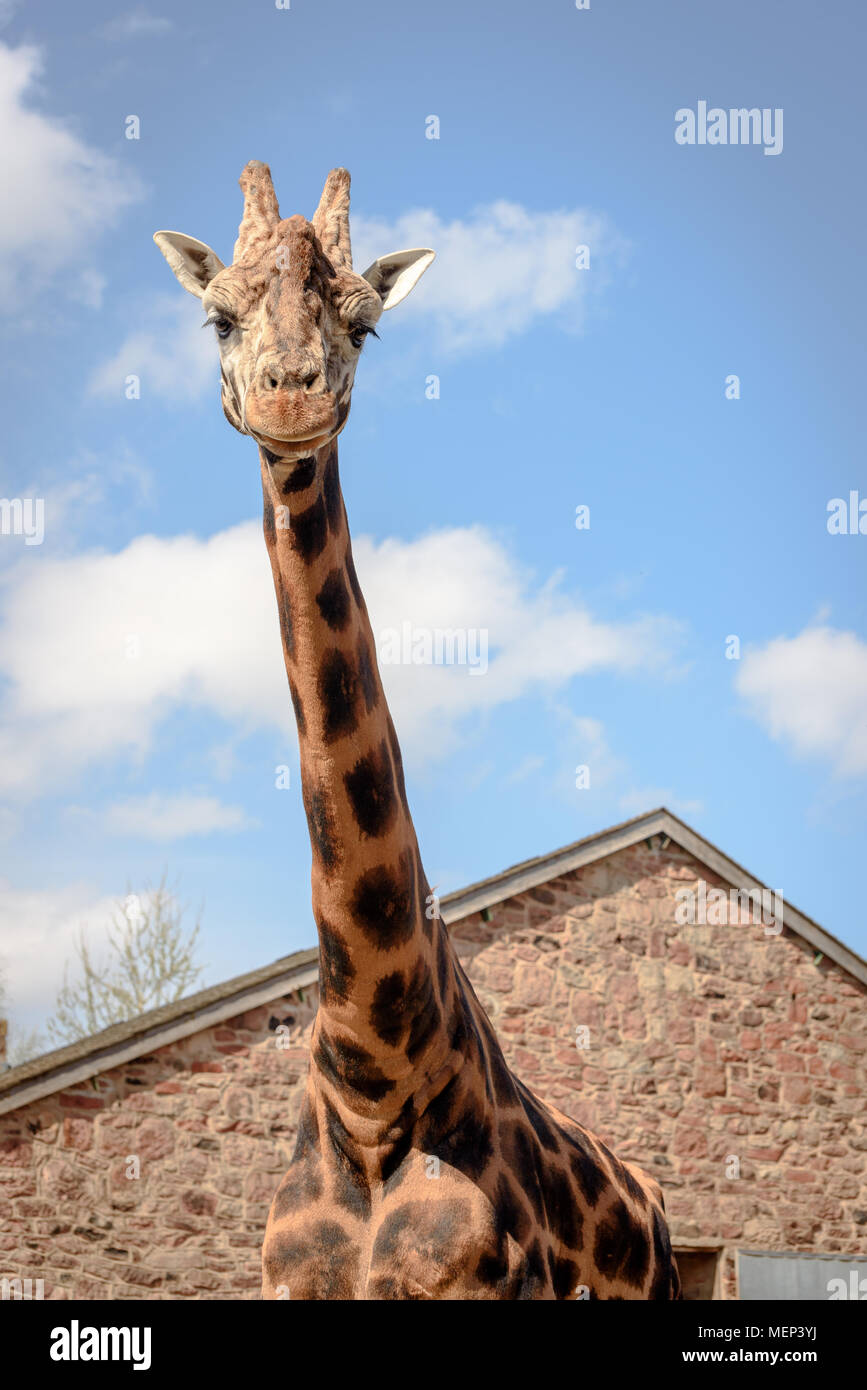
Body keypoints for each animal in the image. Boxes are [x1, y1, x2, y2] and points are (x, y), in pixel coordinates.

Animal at [155, 162, 680, 1301]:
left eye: (367, 323)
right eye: (218, 316)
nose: (292, 393)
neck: (374, 1072)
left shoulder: (480, 1284)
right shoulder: (289, 1285)